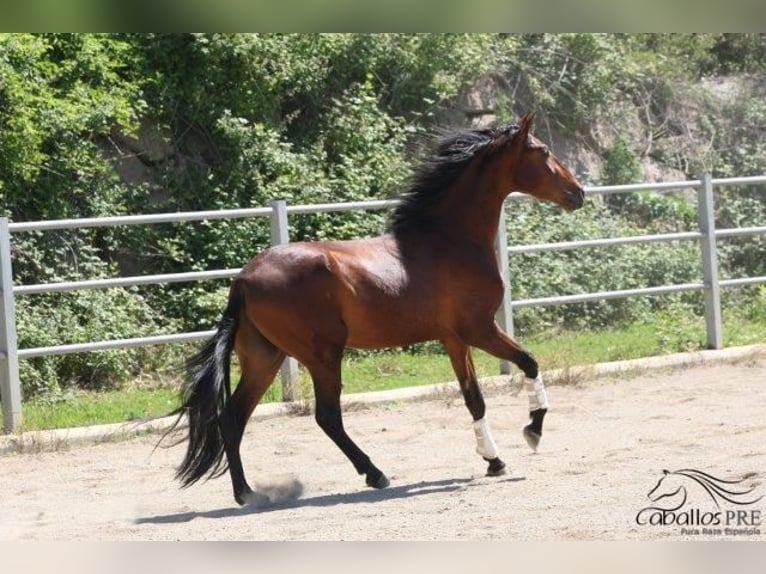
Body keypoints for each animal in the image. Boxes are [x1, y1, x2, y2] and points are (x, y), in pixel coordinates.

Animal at [170, 113, 588, 508]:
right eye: (543, 151)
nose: (578, 193)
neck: (450, 241)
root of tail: (243, 279)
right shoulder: (479, 329)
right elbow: (529, 363)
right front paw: (532, 432)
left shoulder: (454, 339)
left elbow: (474, 398)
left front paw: (494, 461)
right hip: (322, 355)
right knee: (326, 416)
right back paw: (375, 474)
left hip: (264, 358)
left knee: (233, 418)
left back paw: (247, 494)